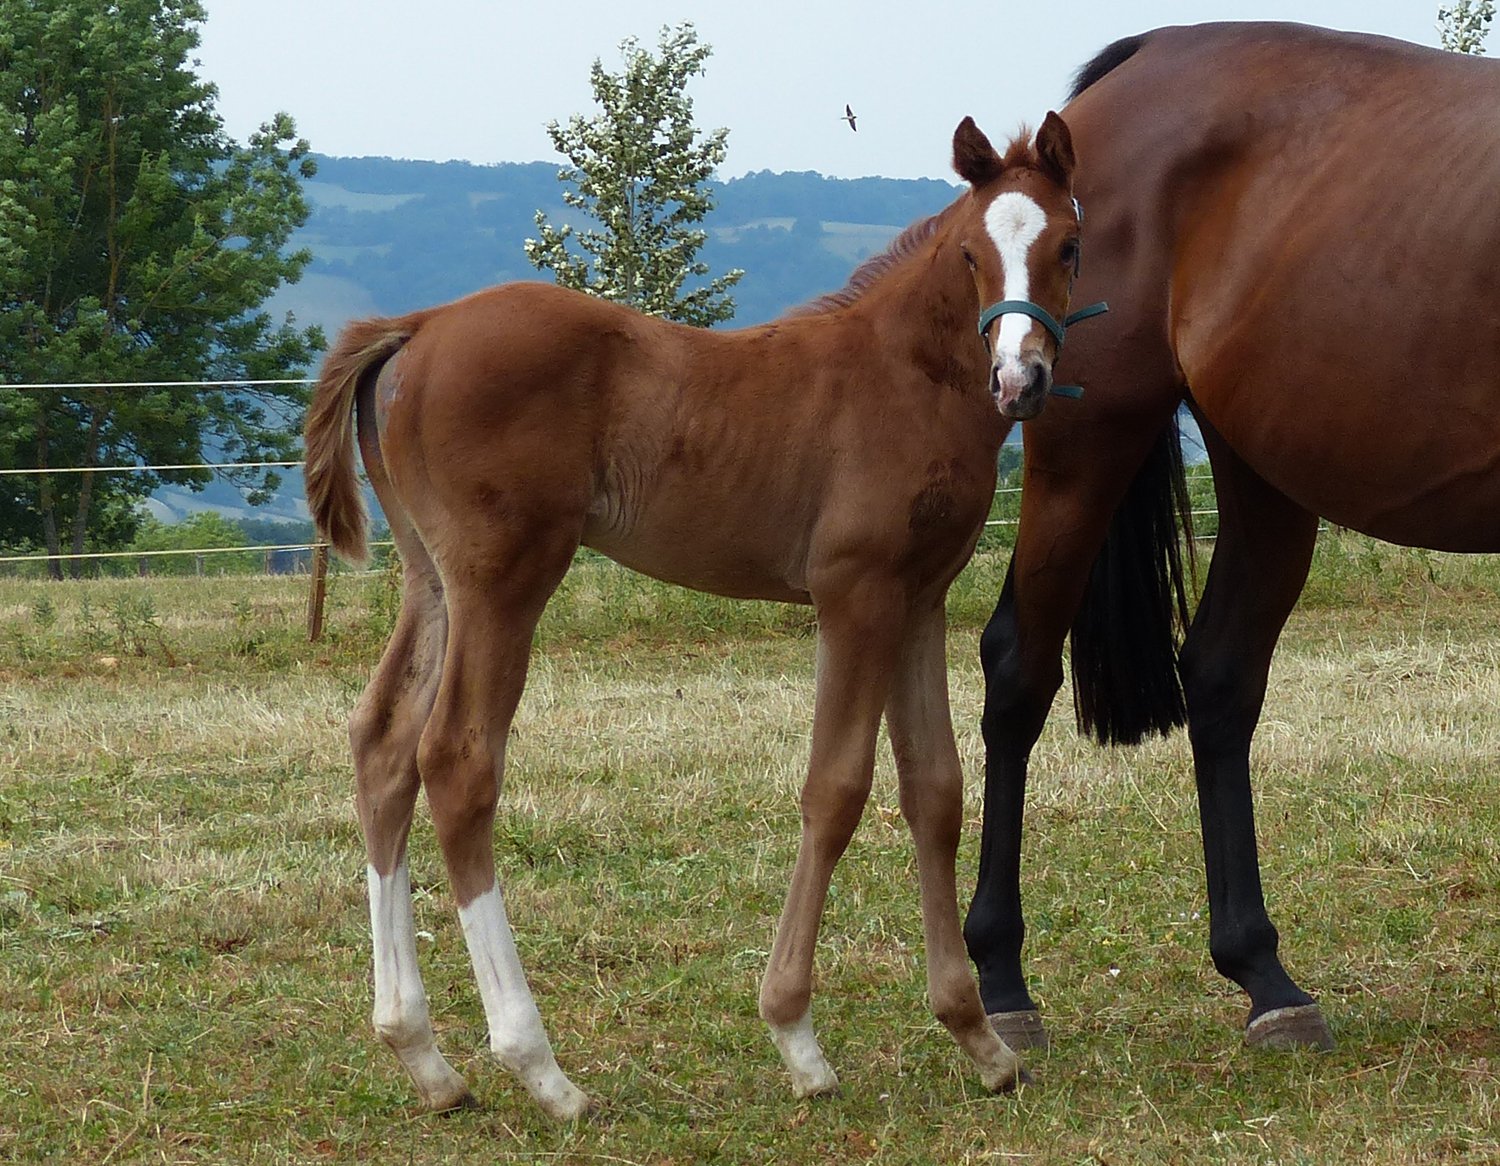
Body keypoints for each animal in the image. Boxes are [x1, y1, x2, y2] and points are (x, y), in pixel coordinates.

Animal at [304, 115, 1089, 1118]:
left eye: (1066, 246)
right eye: (970, 253)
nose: (1019, 378)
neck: (901, 376)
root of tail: (425, 324)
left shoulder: (919, 599)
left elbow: (937, 792)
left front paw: (978, 1038)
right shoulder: (855, 593)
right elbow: (835, 789)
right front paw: (797, 1039)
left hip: (432, 581)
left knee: (383, 744)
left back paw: (423, 1056)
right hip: (503, 580)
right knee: (457, 760)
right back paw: (541, 1068)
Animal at [963, 21, 1500, 1057]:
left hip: (1265, 471)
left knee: (1216, 677)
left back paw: (1265, 977)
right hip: (1084, 446)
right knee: (1017, 669)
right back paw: (1002, 982)